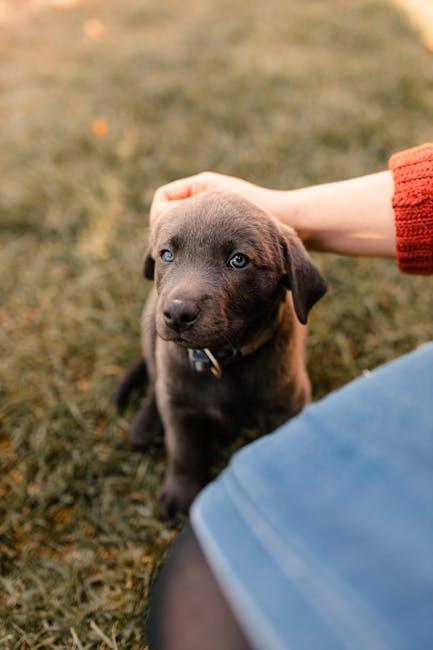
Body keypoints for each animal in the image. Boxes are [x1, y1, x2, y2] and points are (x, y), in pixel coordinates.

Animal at [116, 189, 326, 516]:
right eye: (167, 254)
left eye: (238, 260)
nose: (177, 314)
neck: (220, 358)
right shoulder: (179, 409)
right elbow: (184, 451)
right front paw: (180, 495)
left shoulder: (289, 403)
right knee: (155, 379)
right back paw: (145, 424)